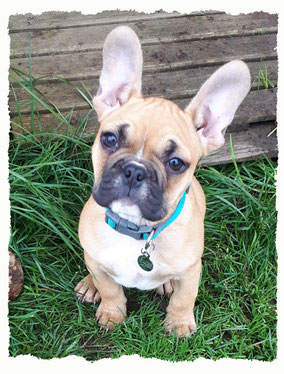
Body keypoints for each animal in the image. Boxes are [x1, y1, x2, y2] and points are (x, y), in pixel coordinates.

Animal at [75, 26, 251, 336]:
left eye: (176, 163)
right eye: (110, 139)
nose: (134, 170)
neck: (137, 230)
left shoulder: (192, 269)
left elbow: (185, 297)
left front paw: (179, 325)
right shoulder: (96, 259)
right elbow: (109, 288)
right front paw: (112, 313)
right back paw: (89, 285)